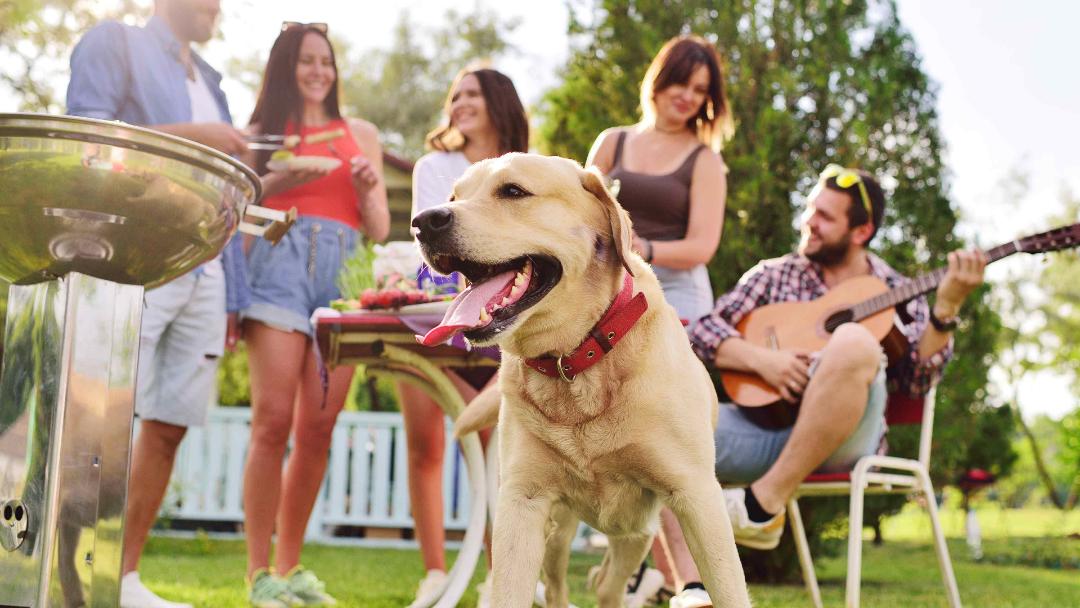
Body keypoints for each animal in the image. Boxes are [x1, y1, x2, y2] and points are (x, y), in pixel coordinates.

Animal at [412, 153, 751, 608]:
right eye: (453, 197)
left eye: (513, 191)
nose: (424, 221)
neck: (573, 362)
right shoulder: (522, 502)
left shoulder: (696, 496)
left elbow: (729, 588)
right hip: (561, 531)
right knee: (562, 587)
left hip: (637, 531)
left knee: (610, 585)